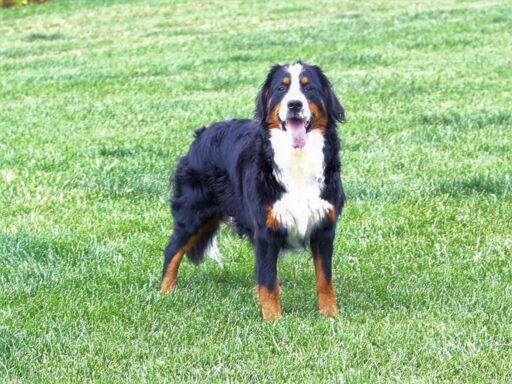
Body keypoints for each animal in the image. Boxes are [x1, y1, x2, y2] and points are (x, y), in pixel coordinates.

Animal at [158, 60, 346, 320]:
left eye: (309, 88)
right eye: (281, 89)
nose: (294, 104)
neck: (297, 159)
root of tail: (203, 133)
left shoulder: (324, 226)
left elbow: (325, 279)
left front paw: (329, 315)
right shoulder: (266, 230)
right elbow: (268, 280)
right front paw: (273, 319)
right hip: (193, 213)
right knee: (172, 250)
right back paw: (164, 293)